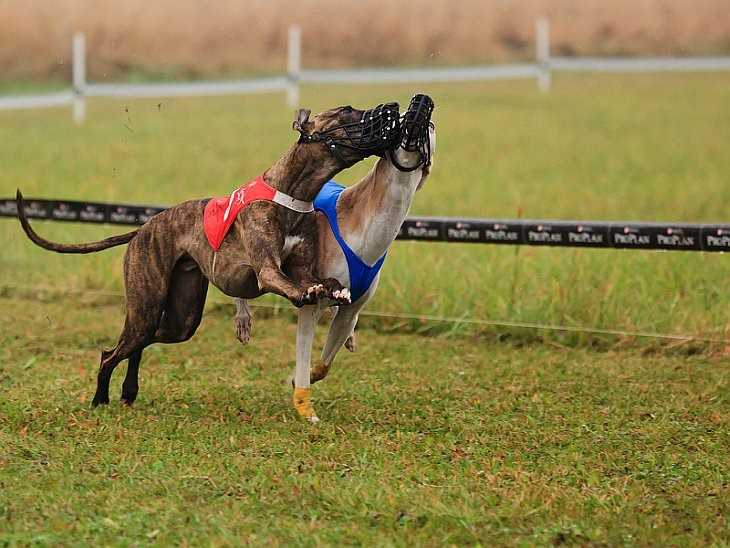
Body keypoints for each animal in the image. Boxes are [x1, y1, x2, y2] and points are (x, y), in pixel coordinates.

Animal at [15, 103, 398, 406]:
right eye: (346, 111)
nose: (391, 108)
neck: (291, 192)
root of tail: (141, 229)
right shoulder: (268, 270)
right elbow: (288, 282)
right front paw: (311, 293)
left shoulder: (302, 265)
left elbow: (323, 279)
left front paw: (334, 290)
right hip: (146, 303)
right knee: (111, 352)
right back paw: (100, 398)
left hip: (180, 317)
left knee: (139, 345)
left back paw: (128, 392)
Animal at [233, 94, 432, 422]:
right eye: (345, 110)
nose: (419, 100)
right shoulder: (308, 305)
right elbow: (304, 360)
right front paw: (302, 399)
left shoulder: (352, 307)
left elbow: (326, 362)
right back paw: (243, 318)